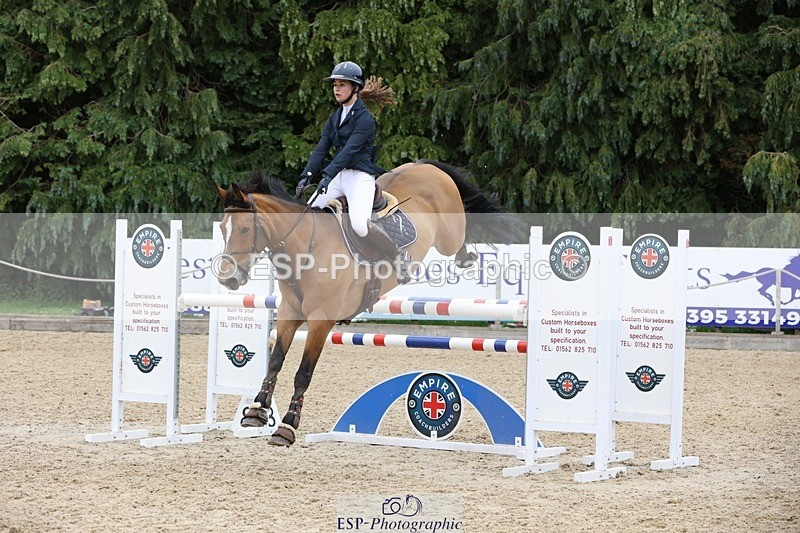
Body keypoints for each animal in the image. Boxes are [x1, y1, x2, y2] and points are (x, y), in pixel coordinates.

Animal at [214, 159, 525, 446]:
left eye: (244, 229)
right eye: (223, 229)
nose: (227, 279)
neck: (306, 247)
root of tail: (423, 165)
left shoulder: (320, 320)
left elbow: (303, 373)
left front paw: (287, 425)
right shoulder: (289, 314)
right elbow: (275, 362)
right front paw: (257, 410)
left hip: (448, 235)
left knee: (459, 238)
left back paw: (465, 258)